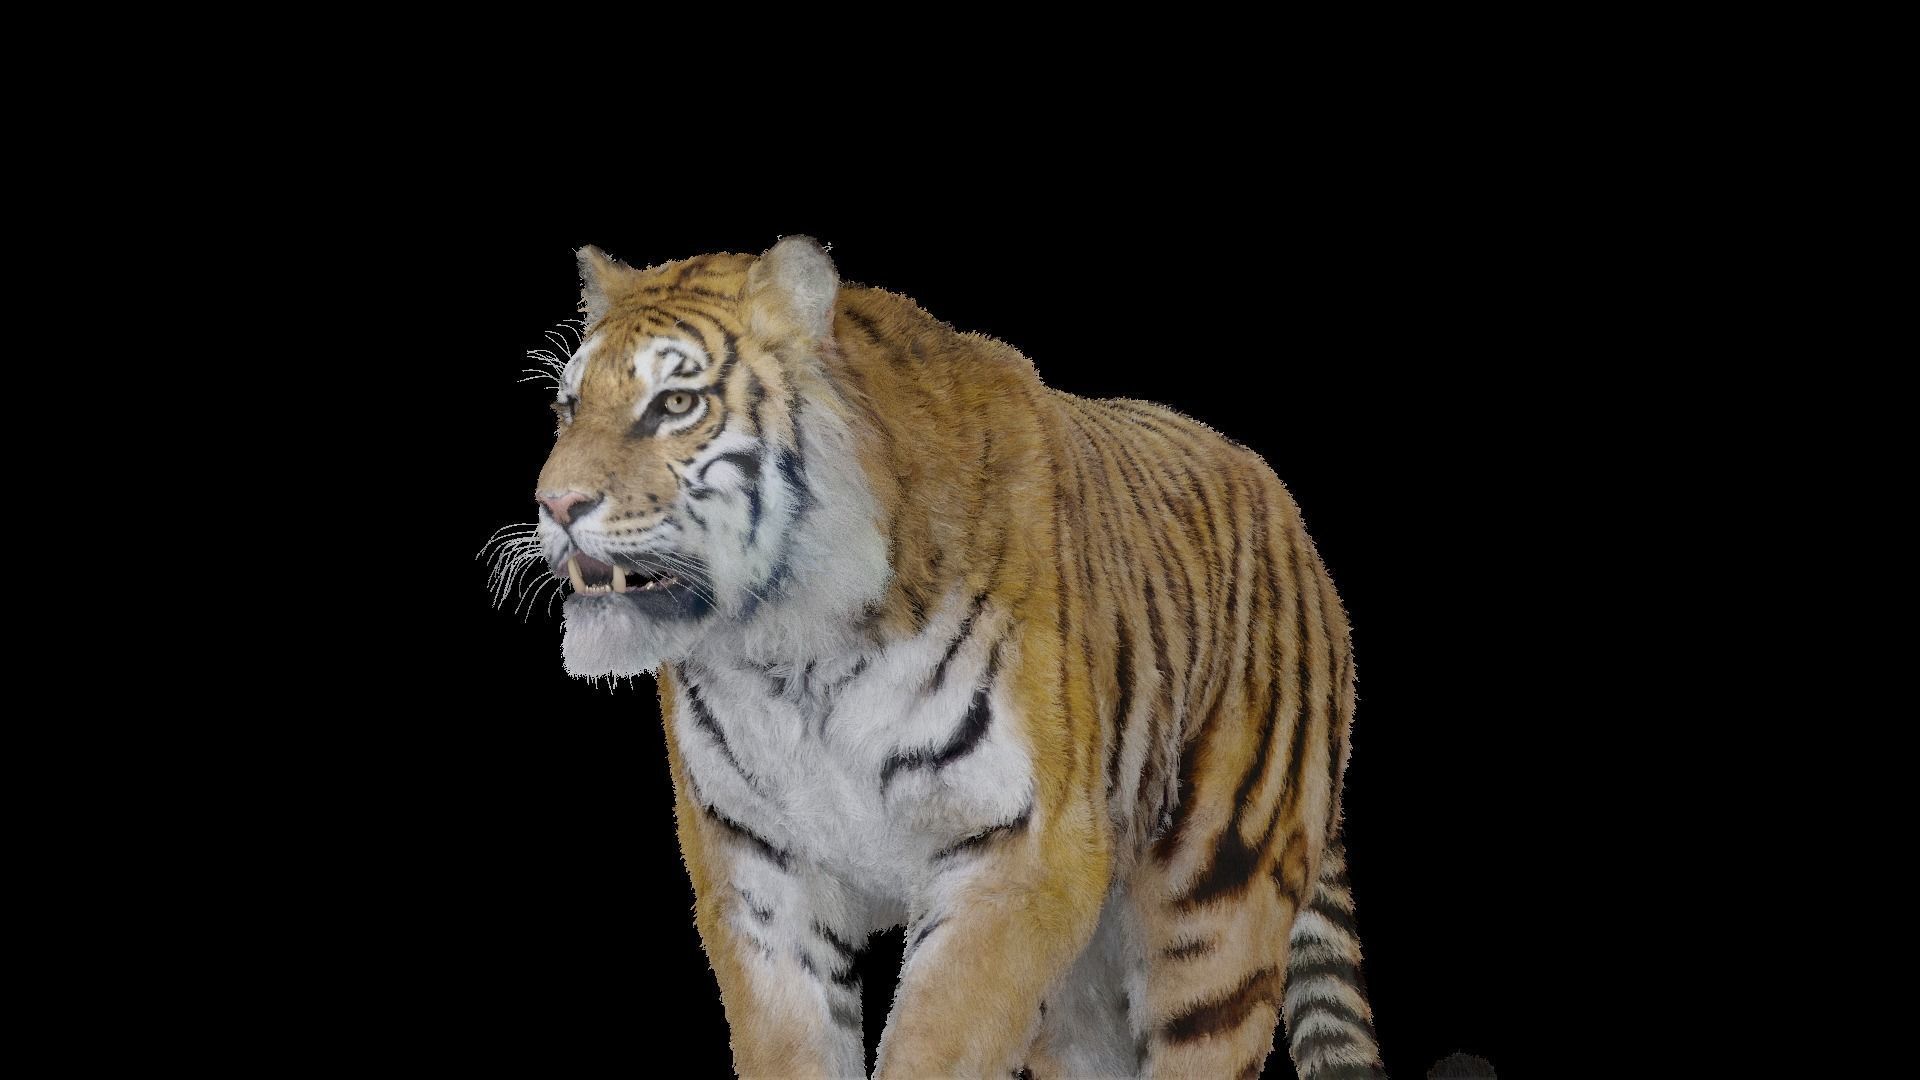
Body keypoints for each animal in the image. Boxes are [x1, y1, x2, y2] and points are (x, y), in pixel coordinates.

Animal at [489, 236, 1390, 1079]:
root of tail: (1282, 504)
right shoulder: (757, 869)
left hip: (1218, 909)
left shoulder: (1023, 853)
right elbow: (790, 1041)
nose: (555, 504)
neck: (791, 653)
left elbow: (937, 1040)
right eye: (569, 406)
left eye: (675, 403)